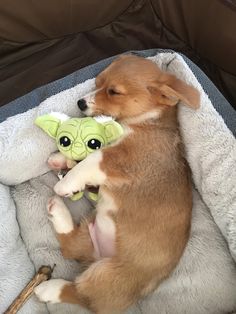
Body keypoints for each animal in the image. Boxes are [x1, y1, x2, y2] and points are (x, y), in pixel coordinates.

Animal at [35, 55, 200, 312]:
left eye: (113, 92)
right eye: (98, 83)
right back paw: (58, 211)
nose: (80, 102)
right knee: (70, 246)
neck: (146, 121)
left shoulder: (119, 160)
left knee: (85, 297)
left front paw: (66, 182)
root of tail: (100, 255)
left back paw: (49, 289)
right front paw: (61, 159)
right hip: (89, 231)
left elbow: (91, 160)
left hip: (105, 276)